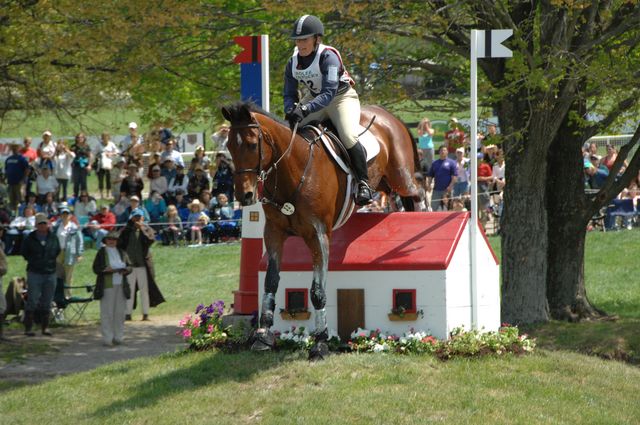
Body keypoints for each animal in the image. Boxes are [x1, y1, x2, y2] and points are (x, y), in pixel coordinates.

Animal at [222, 102, 422, 358]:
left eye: (251, 144)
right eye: (229, 145)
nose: (244, 195)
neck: (293, 171)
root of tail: (389, 115)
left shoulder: (318, 236)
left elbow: (317, 291)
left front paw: (320, 343)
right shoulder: (274, 232)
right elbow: (271, 282)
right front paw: (263, 335)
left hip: (401, 178)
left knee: (416, 195)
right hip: (385, 184)